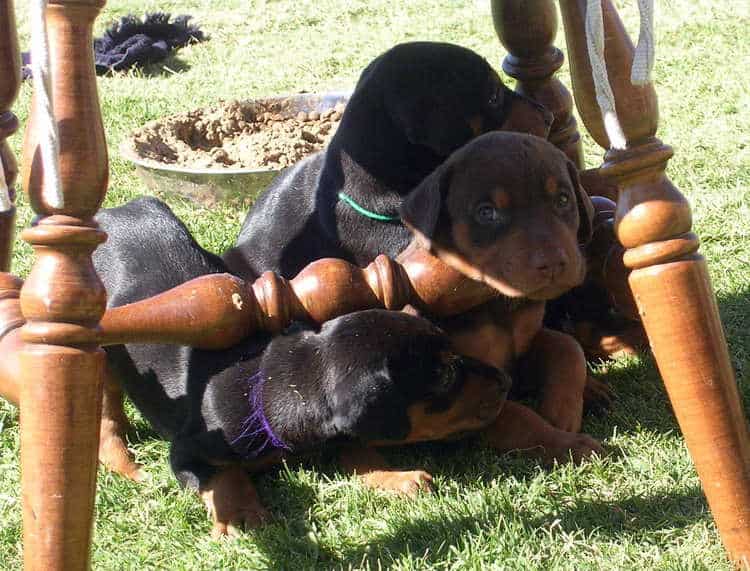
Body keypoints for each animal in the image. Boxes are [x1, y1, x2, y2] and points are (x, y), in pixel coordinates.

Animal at [89, 197, 512, 536]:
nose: (505, 381)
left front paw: (395, 477)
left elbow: (356, 449)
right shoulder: (186, 451)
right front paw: (240, 513)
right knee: (107, 407)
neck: (269, 380)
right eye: (443, 376)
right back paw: (123, 462)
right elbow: (224, 474)